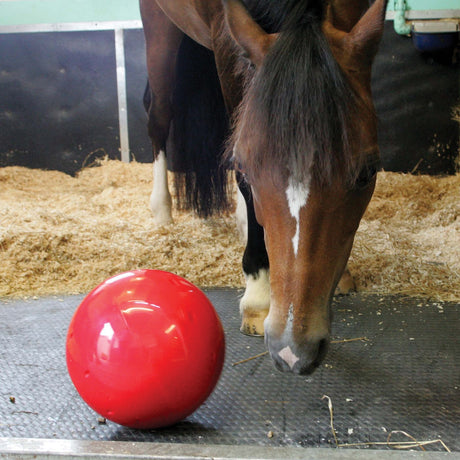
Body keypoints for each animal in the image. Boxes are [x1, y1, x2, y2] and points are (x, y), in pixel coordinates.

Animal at [141, 0, 388, 374]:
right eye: (245, 167)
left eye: (366, 172)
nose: (293, 350)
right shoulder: (223, 37)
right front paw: (258, 293)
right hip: (159, 26)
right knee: (158, 112)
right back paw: (163, 212)